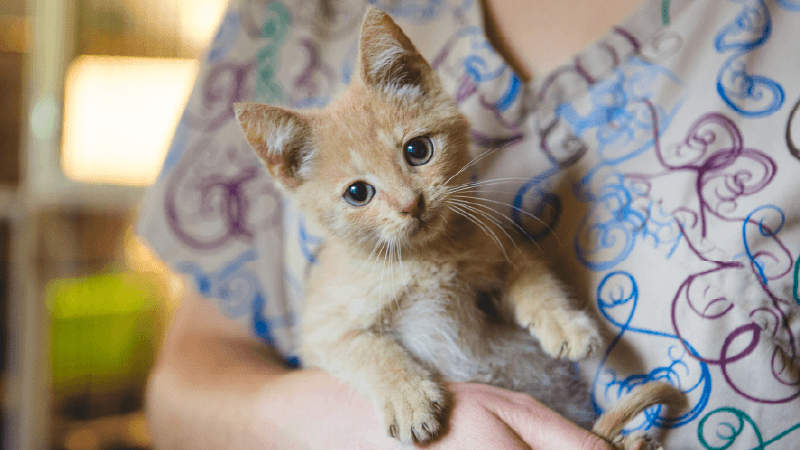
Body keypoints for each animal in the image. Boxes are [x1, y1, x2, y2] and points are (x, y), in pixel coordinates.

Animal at [233, 7, 680, 450]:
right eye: (358, 193)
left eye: (418, 150)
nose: (411, 204)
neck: (424, 259)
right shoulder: (321, 333)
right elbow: (367, 349)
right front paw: (408, 398)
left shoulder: (500, 248)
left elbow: (533, 278)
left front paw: (563, 322)